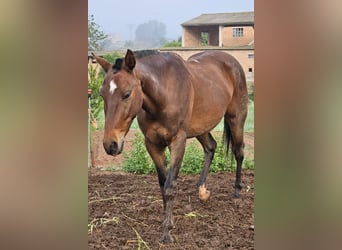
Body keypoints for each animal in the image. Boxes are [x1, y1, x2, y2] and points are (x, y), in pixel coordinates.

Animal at [92, 48, 247, 242]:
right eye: (102, 94)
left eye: (127, 94)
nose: (110, 145)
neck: (164, 93)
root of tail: (231, 61)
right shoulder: (152, 144)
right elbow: (162, 183)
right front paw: (168, 220)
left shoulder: (178, 141)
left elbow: (170, 185)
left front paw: (166, 232)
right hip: (201, 126)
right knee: (211, 147)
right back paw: (202, 190)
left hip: (236, 118)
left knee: (238, 152)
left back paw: (237, 193)